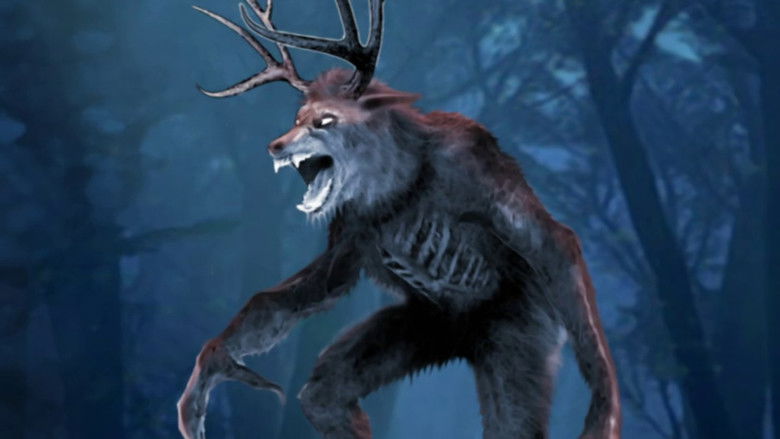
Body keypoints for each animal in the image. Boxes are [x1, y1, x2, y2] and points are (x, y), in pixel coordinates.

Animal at [177, 1, 621, 438]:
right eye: (297, 118)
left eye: (325, 121)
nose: (275, 146)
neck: (399, 182)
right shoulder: (349, 227)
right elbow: (302, 293)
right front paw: (203, 380)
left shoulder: (475, 165)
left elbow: (556, 240)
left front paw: (606, 413)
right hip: (426, 327)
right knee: (323, 395)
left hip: (519, 331)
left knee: (515, 417)